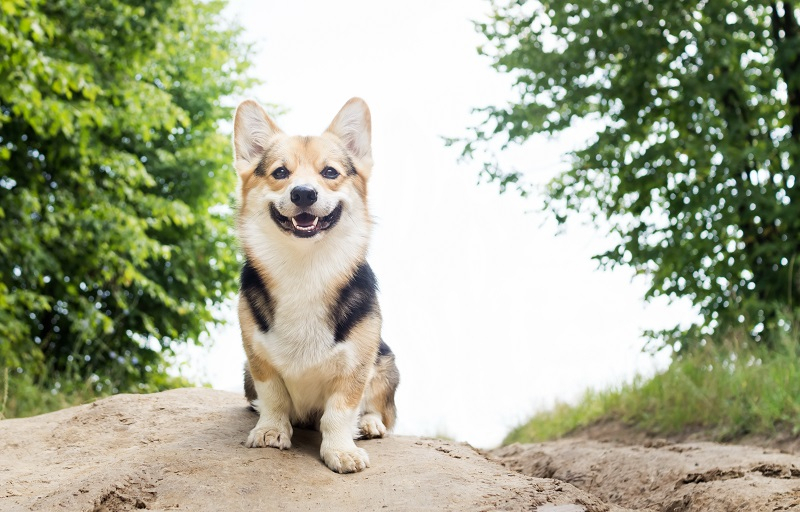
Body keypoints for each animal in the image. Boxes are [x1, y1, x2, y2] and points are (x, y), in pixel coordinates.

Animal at [230, 98, 398, 474]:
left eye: (330, 173)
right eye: (280, 172)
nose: (304, 193)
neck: (304, 267)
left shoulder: (355, 366)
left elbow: (339, 412)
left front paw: (342, 450)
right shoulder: (257, 360)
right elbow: (274, 397)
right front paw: (271, 430)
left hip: (386, 362)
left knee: (380, 409)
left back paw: (370, 424)